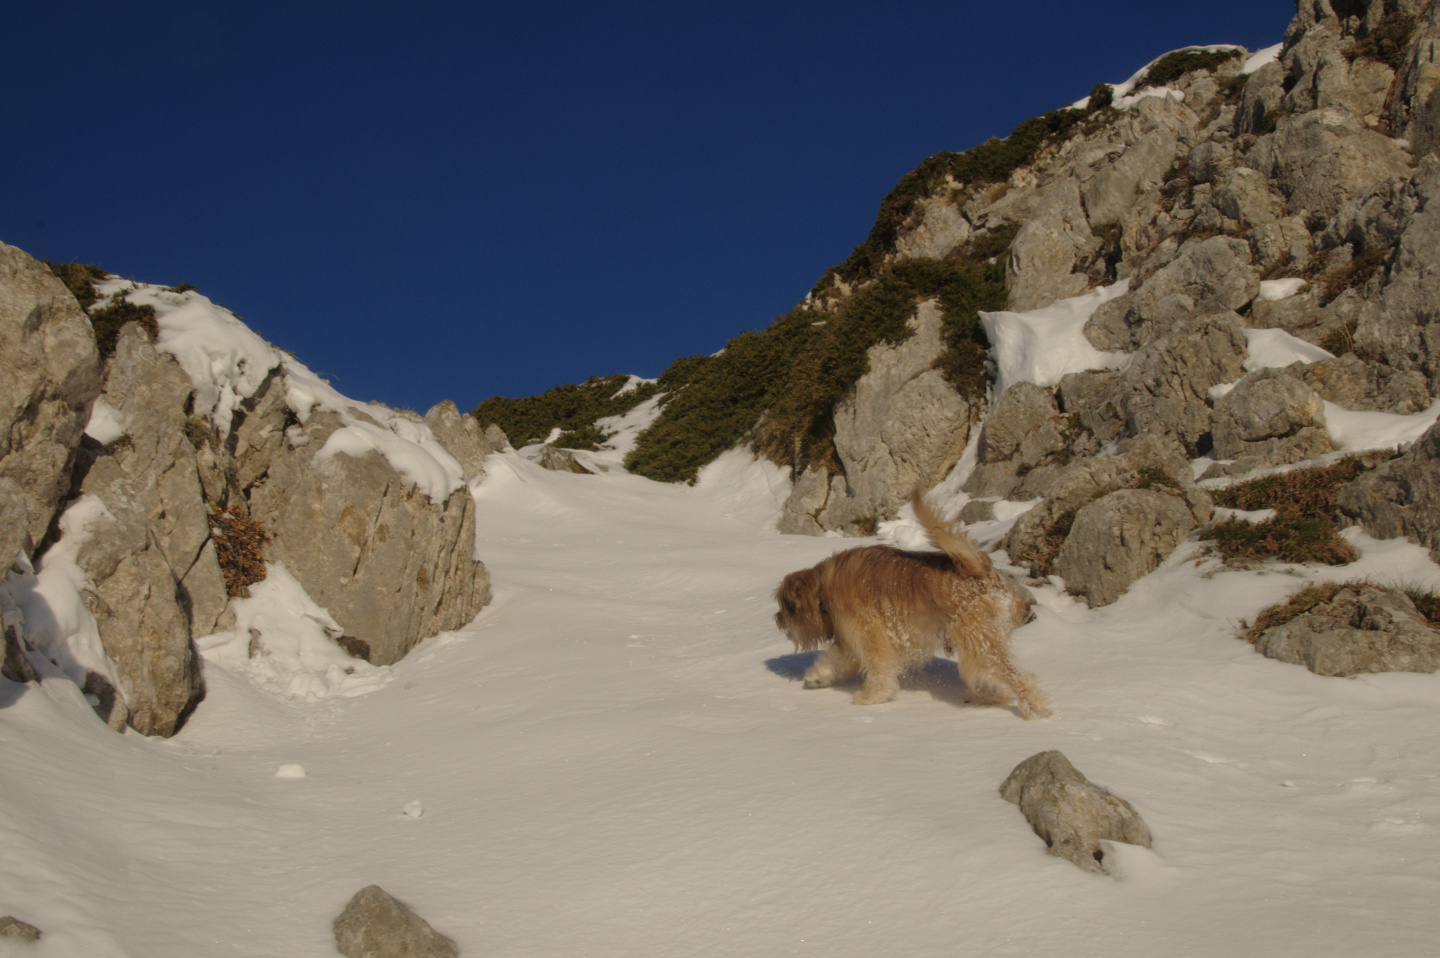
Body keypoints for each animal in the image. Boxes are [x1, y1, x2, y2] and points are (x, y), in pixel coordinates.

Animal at [777, 489, 1048, 714]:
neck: (825, 586)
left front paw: (873, 697)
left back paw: (1033, 708)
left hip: (978, 641)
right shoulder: (850, 640)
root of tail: (979, 567)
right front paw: (818, 676)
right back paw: (988, 696)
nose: (777, 620)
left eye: (784, 608)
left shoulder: (869, 634)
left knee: (1018, 677)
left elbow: (879, 669)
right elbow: (835, 660)